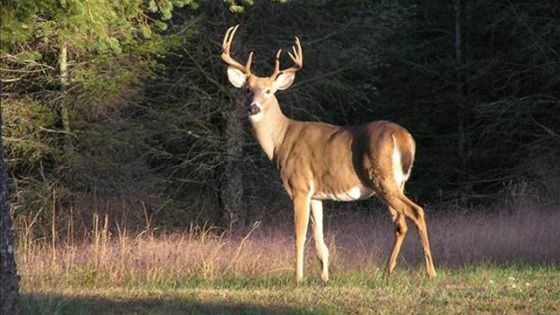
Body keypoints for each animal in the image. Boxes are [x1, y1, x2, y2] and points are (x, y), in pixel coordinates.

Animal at [220, 25, 438, 282]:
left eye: (269, 91)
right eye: (247, 90)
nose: (253, 107)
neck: (280, 140)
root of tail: (404, 138)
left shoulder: (299, 186)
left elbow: (299, 236)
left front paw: (299, 278)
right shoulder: (317, 195)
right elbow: (320, 240)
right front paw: (324, 277)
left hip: (383, 178)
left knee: (416, 211)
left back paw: (431, 271)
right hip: (397, 181)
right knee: (400, 223)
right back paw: (388, 269)